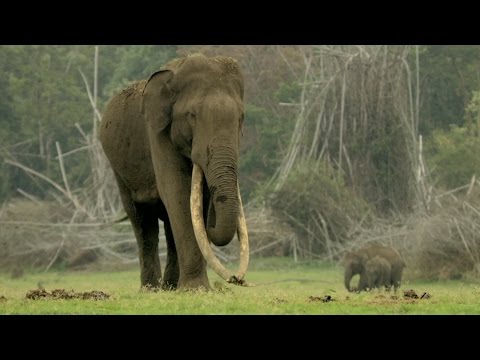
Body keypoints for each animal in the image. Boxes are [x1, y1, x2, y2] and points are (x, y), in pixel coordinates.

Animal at [99, 52, 249, 290]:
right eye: (192, 116)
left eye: (241, 117)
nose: (236, 279)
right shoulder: (157, 131)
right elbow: (176, 190)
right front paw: (196, 289)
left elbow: (195, 199)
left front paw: (192, 289)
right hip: (118, 170)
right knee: (142, 221)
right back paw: (151, 289)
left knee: (168, 224)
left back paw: (169, 287)